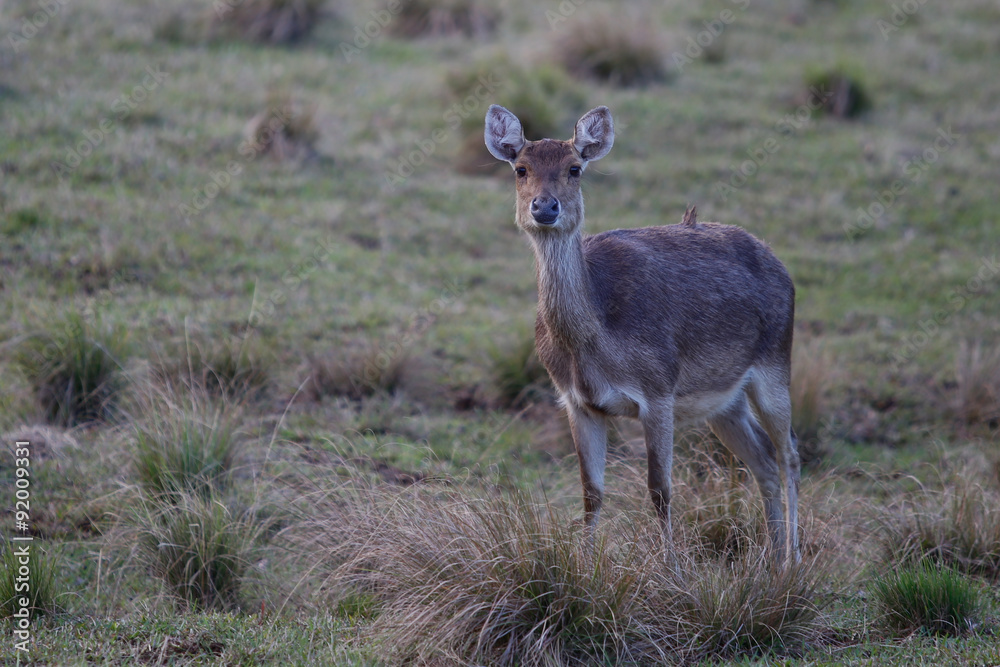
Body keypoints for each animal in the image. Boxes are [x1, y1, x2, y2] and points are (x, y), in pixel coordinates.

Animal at [484, 104, 804, 564]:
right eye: (521, 168)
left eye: (574, 168)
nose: (545, 207)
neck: (595, 343)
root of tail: (781, 265)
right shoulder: (575, 401)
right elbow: (591, 493)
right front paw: (583, 565)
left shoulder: (658, 391)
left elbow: (660, 490)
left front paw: (672, 569)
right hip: (724, 400)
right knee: (761, 457)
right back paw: (773, 559)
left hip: (776, 362)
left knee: (789, 451)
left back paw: (793, 559)